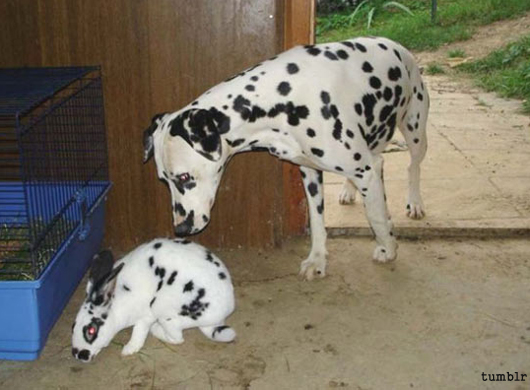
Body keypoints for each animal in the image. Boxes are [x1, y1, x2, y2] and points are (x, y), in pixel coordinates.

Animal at [142, 37, 426, 280]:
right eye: (163, 180)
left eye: (184, 177)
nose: (180, 229)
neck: (278, 98)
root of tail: (397, 46)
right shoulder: (310, 172)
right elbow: (317, 221)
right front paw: (317, 260)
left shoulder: (363, 171)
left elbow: (376, 215)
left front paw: (388, 247)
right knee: (379, 164)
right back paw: (350, 191)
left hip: (415, 133)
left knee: (413, 167)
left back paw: (414, 203)